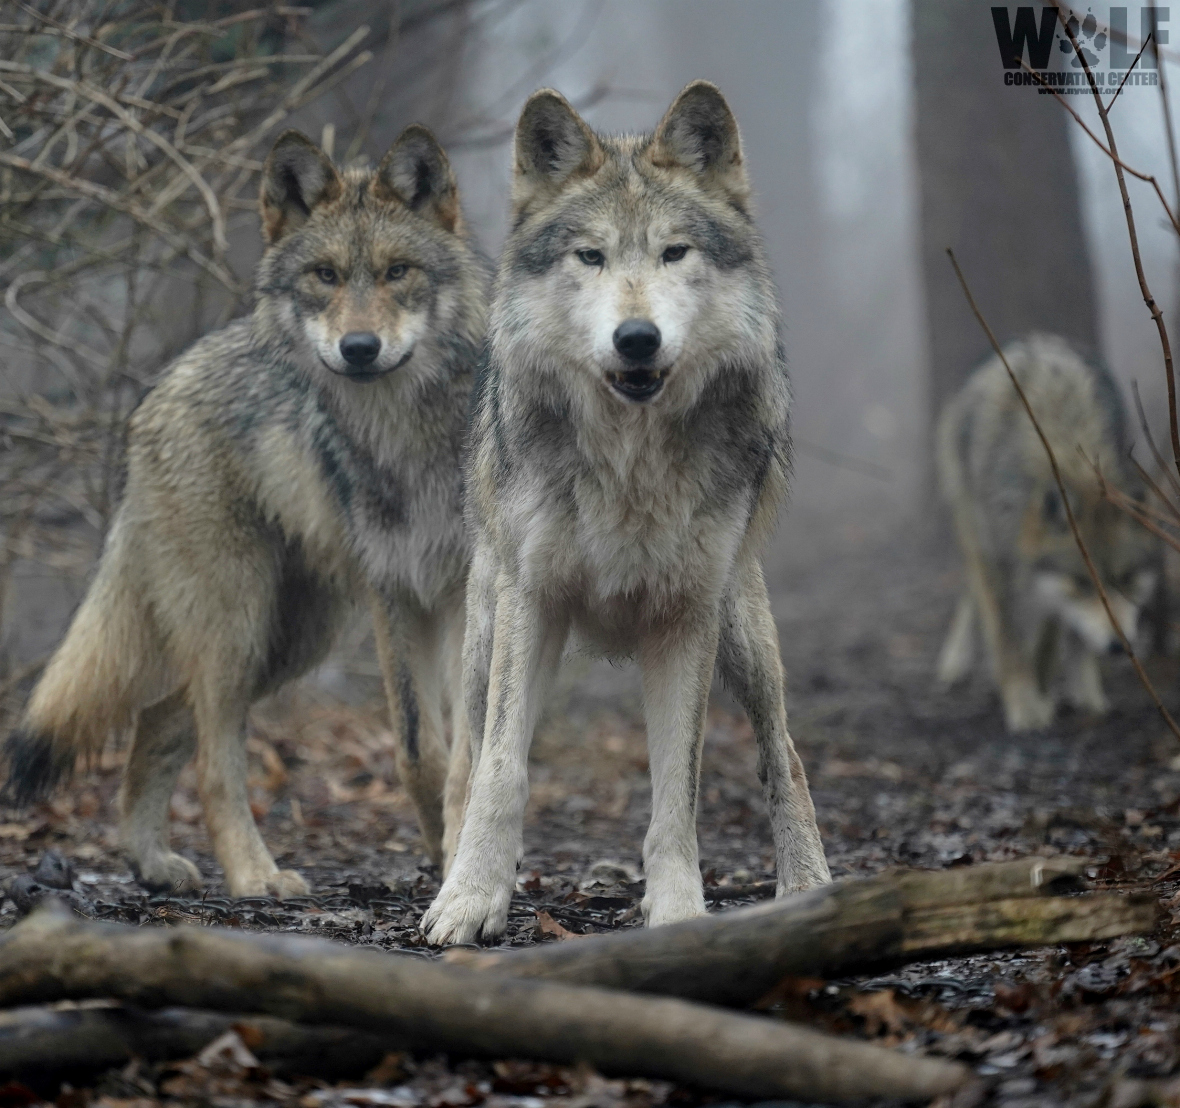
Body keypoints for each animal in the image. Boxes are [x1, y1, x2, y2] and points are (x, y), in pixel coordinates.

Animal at [2, 125, 487, 897]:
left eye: (397, 272)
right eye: (324, 276)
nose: (358, 349)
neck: (407, 438)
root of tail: (163, 381)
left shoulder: (469, 595)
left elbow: (468, 755)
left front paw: (456, 873)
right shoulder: (394, 595)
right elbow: (419, 752)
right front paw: (448, 869)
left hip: (287, 640)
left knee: (157, 721)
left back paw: (152, 861)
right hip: (240, 627)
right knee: (210, 758)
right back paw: (254, 874)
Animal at [421, 81, 831, 945]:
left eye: (675, 253)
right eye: (592, 256)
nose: (636, 338)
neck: (630, 460)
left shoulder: (685, 619)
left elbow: (679, 789)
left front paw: (677, 914)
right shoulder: (530, 602)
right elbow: (502, 769)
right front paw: (471, 900)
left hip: (741, 631)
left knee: (784, 753)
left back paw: (809, 885)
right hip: (484, 634)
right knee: (467, 759)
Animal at [936, 333, 1158, 732]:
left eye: (1125, 579)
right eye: (1083, 583)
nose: (1118, 646)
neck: (1064, 450)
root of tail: (1034, 338)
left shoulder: (1050, 586)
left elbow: (1056, 634)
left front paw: (1070, 691)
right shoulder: (997, 560)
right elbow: (1007, 639)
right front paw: (1025, 706)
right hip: (971, 526)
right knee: (970, 589)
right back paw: (955, 660)